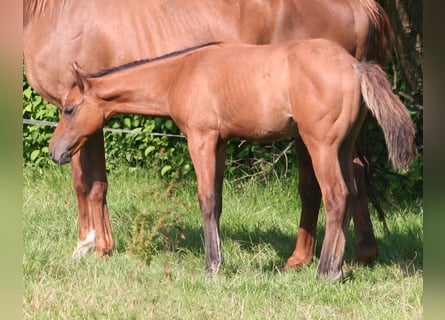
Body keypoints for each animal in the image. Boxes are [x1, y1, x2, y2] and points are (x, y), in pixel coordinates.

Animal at [24, 0, 392, 268]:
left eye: (69, 110)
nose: (54, 151)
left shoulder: (194, 138)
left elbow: (90, 183)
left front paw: (92, 246)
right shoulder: (217, 141)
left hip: (316, 140)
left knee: (326, 190)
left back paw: (316, 263)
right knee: (353, 177)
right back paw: (357, 257)